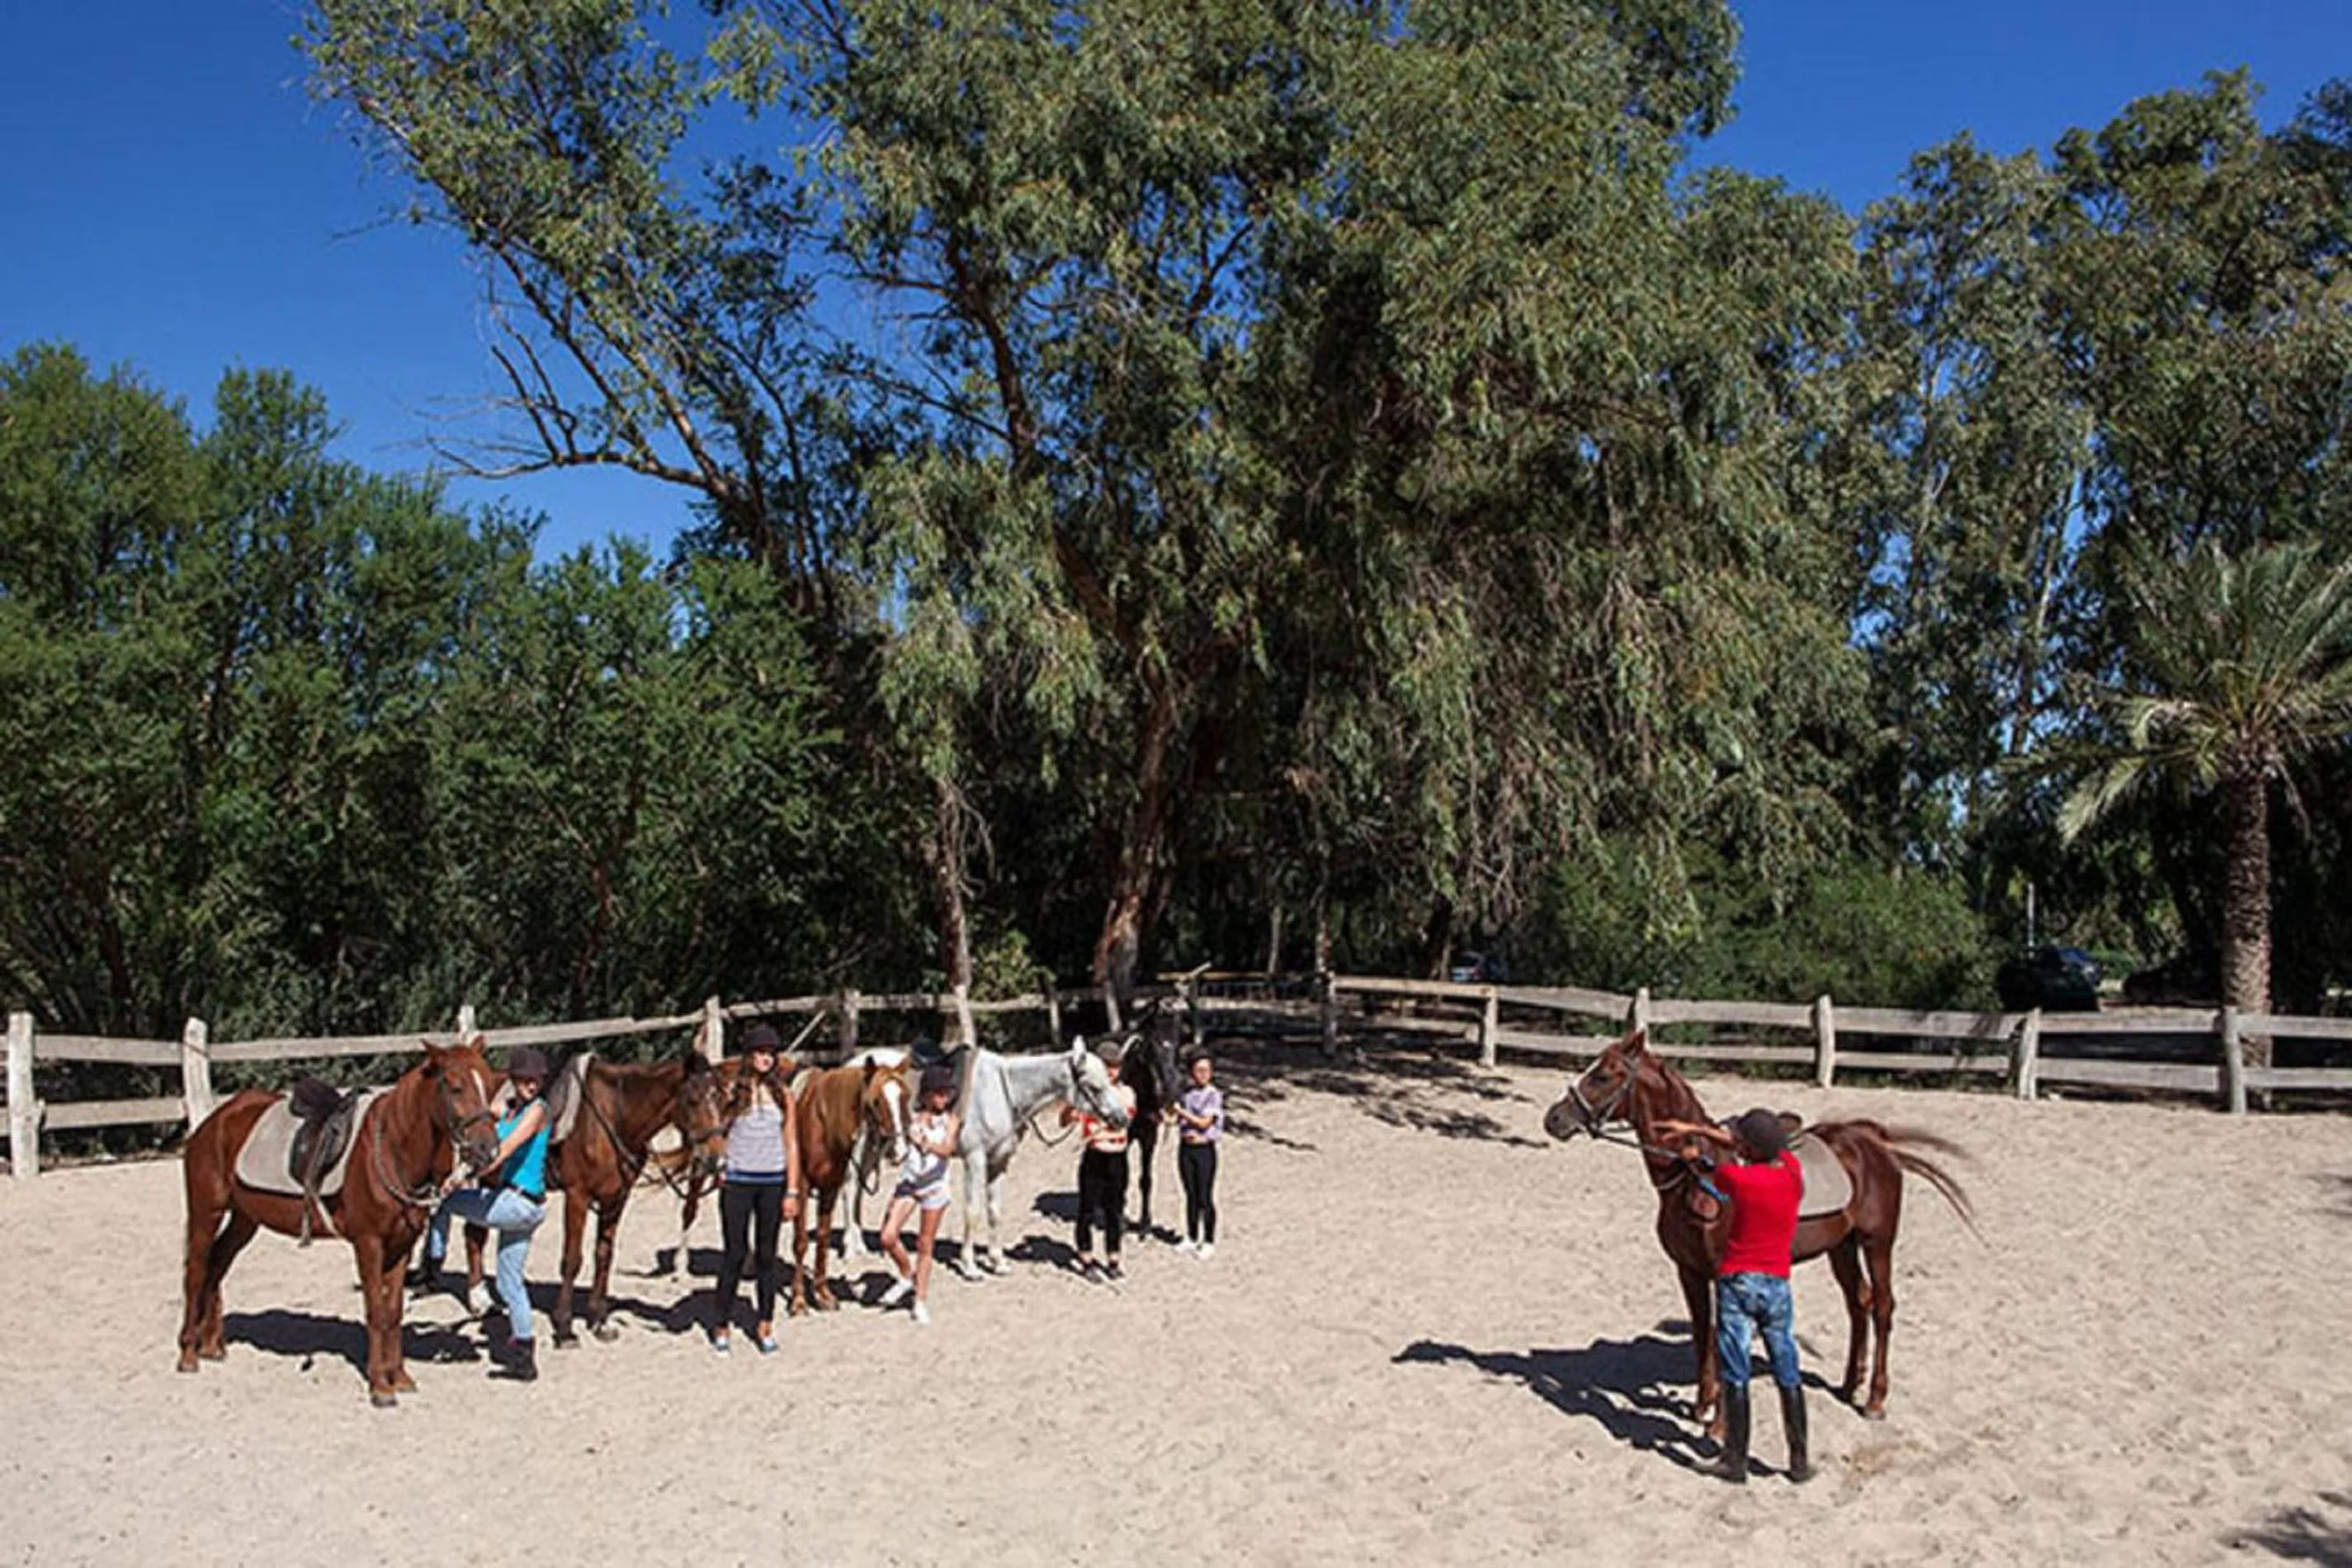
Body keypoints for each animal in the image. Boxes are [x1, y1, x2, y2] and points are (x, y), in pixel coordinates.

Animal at [177, 1037, 503, 1407]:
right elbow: (375, 1311)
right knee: (196, 1271)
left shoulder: (401, 1246)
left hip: (245, 1219)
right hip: (207, 1212)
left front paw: (400, 1377)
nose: (488, 1150)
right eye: (456, 1086)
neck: (391, 1148)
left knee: (218, 1264)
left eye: (490, 1085)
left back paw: (211, 1345)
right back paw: (188, 1353)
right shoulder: (369, 1244)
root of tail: (211, 1123)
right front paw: (380, 1386)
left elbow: (393, 1312)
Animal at [459, 1039, 732, 1346]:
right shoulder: (578, 1196)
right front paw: (564, 1327)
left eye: (720, 1098)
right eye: (693, 1100)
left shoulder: (616, 1198)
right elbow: (572, 1260)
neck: (615, 1116)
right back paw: (478, 1302)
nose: (717, 1160)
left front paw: (599, 1320)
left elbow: (604, 1254)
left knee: (474, 1234)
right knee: (474, 1235)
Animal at [786, 1057, 913, 1313]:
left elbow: (823, 1238)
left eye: (905, 1097)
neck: (820, 1121)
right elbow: (801, 1242)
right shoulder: (801, 1189)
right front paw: (799, 1301)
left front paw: (823, 1295)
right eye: (875, 1101)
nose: (900, 1151)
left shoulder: (830, 1188)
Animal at [1541, 1028, 1974, 1432]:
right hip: (1842, 1246)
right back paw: (1850, 1384)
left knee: (1882, 1306)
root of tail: (1874, 1141)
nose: (1554, 1119)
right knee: (1859, 1303)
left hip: (1877, 1242)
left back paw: (1875, 1399)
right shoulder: (1689, 1272)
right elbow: (1702, 1334)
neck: (1698, 1173)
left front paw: (1718, 1426)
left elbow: (1721, 1339)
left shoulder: (1725, 1275)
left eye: (1603, 1075)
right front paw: (1702, 1406)